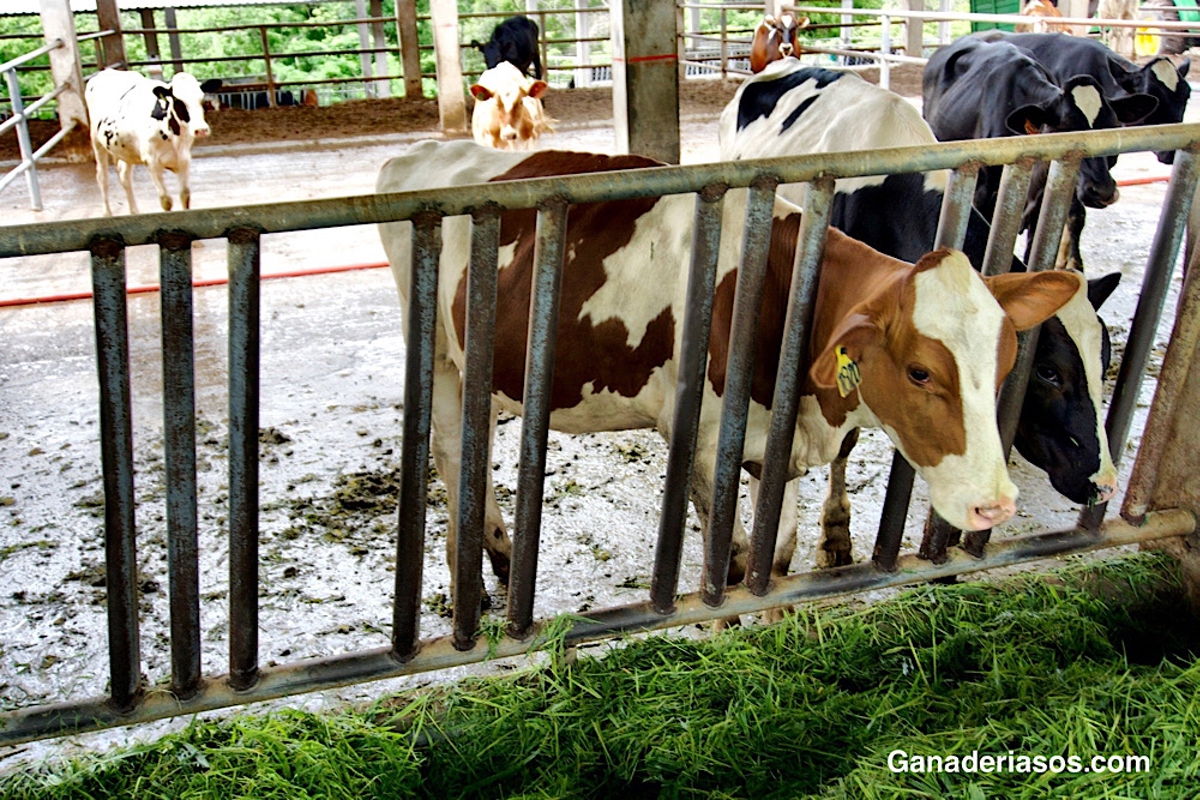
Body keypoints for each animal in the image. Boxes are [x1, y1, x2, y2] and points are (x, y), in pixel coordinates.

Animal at [85, 68, 223, 215]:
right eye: (178, 101)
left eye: (201, 100)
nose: (201, 130)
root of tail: (107, 71)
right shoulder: (152, 162)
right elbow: (166, 200)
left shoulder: (184, 159)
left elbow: (185, 196)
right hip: (96, 141)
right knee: (102, 178)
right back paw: (107, 213)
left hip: (126, 149)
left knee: (124, 177)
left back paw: (134, 211)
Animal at [374, 142, 1080, 594]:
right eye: (919, 372)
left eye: (1009, 360)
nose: (997, 504)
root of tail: (417, 152)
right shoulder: (706, 440)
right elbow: (733, 563)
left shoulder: (781, 440)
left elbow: (778, 558)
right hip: (437, 353)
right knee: (449, 451)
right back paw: (476, 567)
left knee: (475, 448)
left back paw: (497, 553)